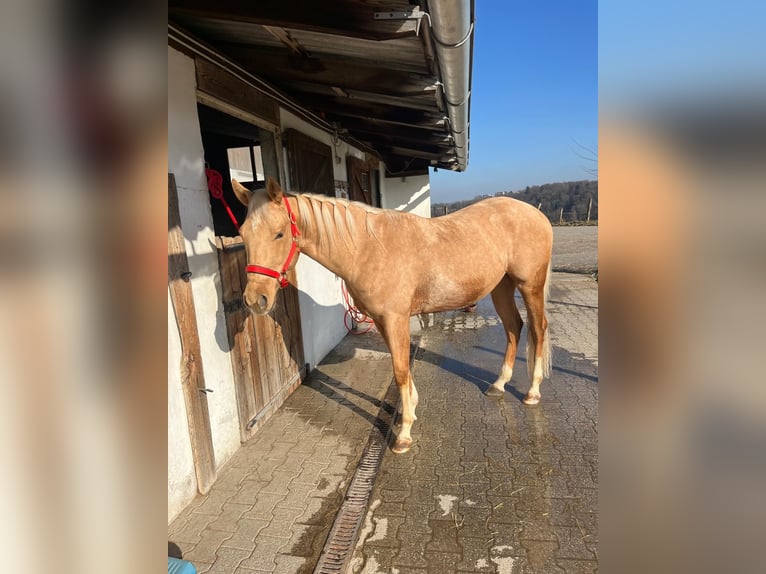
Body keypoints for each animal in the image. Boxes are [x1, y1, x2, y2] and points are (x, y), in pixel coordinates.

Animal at [231, 177, 553, 454]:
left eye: (279, 233)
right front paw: (409, 411)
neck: (368, 248)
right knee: (514, 327)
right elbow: (402, 368)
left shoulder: (396, 318)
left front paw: (404, 434)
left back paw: (533, 391)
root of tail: (537, 214)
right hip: (501, 287)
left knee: (538, 328)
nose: (255, 299)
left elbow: (399, 370)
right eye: (243, 234)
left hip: (530, 286)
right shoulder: (383, 320)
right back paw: (498, 385)